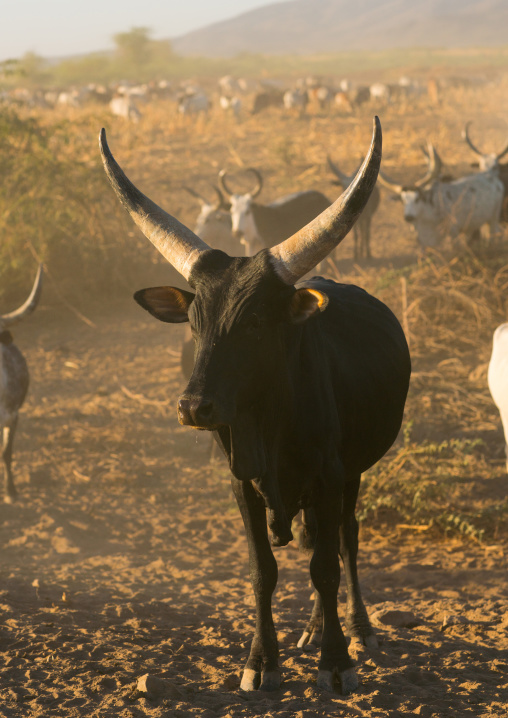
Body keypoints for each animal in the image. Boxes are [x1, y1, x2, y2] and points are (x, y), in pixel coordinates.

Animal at [99, 118, 411, 695]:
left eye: (256, 322)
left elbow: (327, 566)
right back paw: (312, 628)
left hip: (353, 472)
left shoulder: (330, 474)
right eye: (193, 322)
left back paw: (356, 630)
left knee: (345, 541)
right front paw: (262, 661)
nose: (193, 407)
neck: (267, 425)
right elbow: (263, 569)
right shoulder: (240, 482)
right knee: (317, 541)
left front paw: (336, 659)